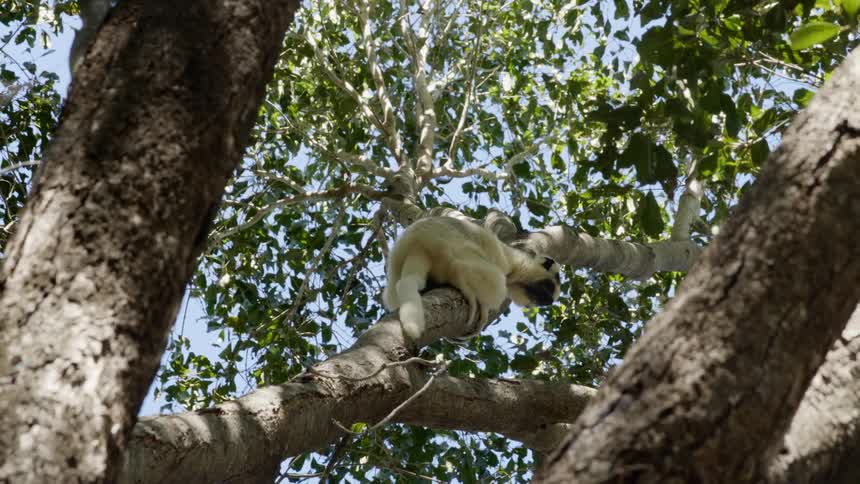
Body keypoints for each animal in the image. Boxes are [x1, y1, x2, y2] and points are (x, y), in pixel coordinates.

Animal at [382, 216, 561, 341]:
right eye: (548, 287)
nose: (549, 302)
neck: (517, 267)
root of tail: (416, 244)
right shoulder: (505, 261)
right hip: (446, 244)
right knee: (468, 269)